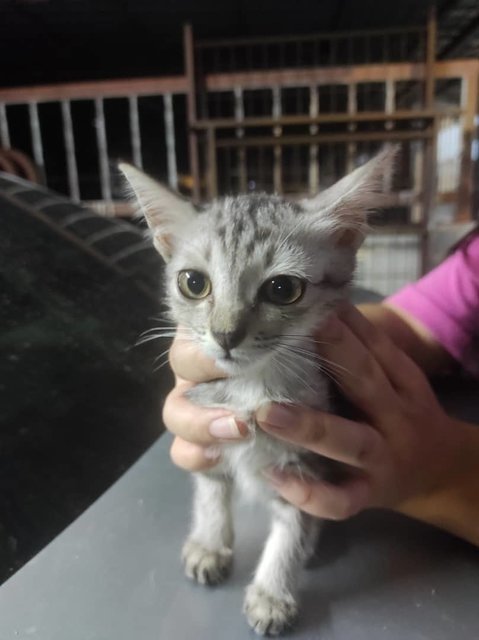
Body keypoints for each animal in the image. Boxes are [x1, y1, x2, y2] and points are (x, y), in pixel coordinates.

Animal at [120, 149, 394, 636]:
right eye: (193, 283)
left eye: (282, 289)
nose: (225, 335)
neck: (251, 388)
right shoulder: (207, 424)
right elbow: (211, 491)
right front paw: (210, 544)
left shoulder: (308, 465)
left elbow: (293, 528)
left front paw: (272, 593)